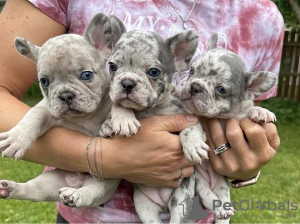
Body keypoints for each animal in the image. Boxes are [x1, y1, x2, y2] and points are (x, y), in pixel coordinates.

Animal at [0, 12, 126, 208]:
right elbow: (32, 118)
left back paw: (76, 195)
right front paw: (16, 139)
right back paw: (10, 188)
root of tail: (75, 181)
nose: (66, 95)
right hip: (49, 181)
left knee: (91, 192)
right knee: (33, 191)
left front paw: (108, 125)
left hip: (104, 183)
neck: (85, 116)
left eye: (86, 75)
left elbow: (115, 110)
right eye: (44, 81)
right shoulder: (45, 108)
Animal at [99, 30, 210, 224]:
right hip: (143, 205)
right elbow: (119, 105)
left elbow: (189, 130)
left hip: (181, 199)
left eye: (153, 72)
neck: (149, 109)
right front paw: (118, 121)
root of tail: (164, 204)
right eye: (112, 66)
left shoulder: (188, 117)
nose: (127, 82)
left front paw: (194, 146)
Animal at [179, 32, 278, 222]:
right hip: (200, 184)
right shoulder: (193, 118)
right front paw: (193, 145)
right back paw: (219, 210)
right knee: (209, 197)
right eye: (192, 70)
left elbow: (248, 111)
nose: (195, 86)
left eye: (221, 90)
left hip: (222, 187)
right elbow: (189, 128)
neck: (220, 117)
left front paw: (261, 111)